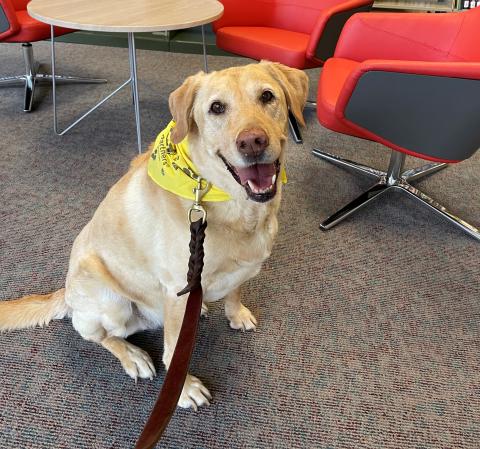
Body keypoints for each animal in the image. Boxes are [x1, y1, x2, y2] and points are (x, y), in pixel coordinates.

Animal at [0, 62, 308, 410]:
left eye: (267, 96)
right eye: (216, 108)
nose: (253, 142)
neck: (234, 205)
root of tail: (65, 293)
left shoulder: (238, 270)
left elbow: (234, 291)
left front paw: (237, 314)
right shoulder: (176, 289)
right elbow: (174, 350)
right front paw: (183, 389)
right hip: (111, 301)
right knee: (96, 334)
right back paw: (132, 355)